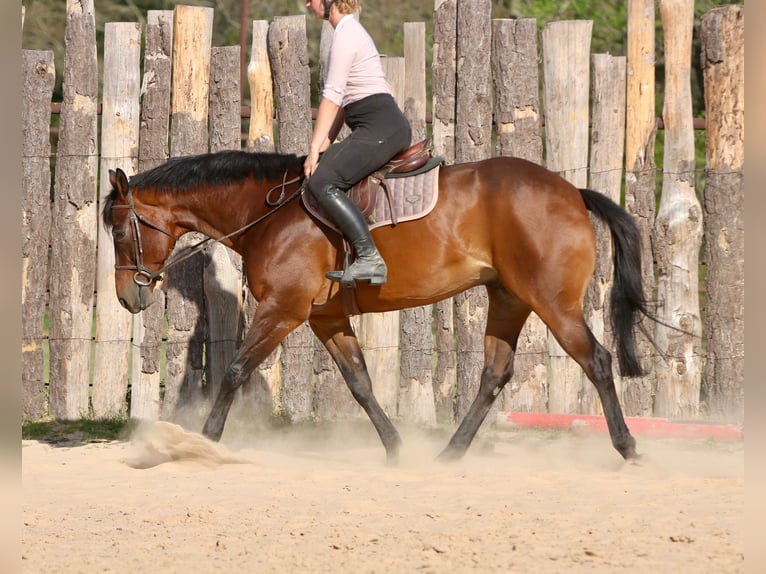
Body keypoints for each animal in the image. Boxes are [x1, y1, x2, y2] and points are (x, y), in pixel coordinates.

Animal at [103, 149, 650, 463]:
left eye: (118, 229)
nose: (129, 296)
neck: (268, 212)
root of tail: (571, 191)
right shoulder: (324, 317)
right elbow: (360, 383)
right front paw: (395, 447)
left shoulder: (284, 309)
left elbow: (236, 369)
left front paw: (207, 440)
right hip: (509, 300)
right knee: (495, 373)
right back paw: (450, 453)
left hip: (552, 303)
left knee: (597, 361)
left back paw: (627, 447)